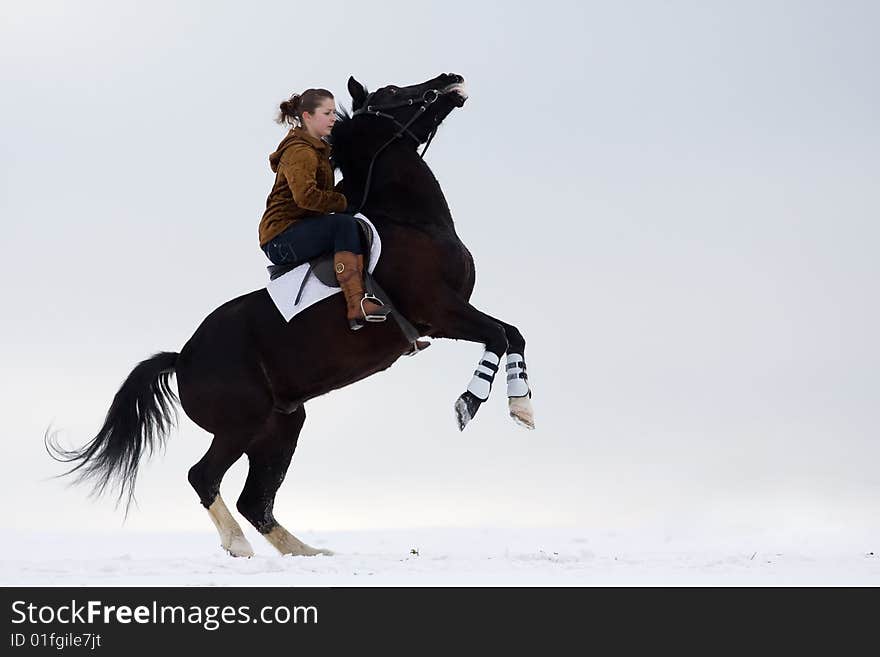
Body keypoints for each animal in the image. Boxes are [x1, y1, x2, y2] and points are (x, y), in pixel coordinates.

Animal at [49, 73, 536, 552]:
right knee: (204, 477)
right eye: (394, 92)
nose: (452, 79)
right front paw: (468, 404)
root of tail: (182, 358)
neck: (411, 220)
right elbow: (497, 335)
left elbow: (513, 333)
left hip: (281, 426)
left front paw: (522, 407)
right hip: (241, 424)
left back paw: (309, 553)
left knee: (255, 500)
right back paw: (239, 546)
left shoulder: (447, 314)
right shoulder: (438, 307)